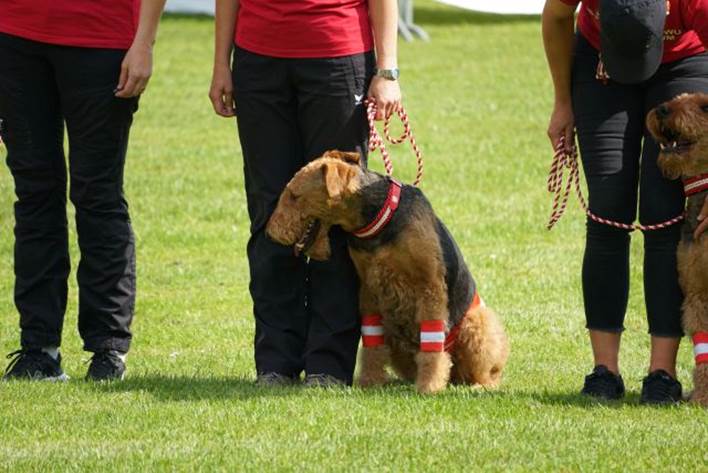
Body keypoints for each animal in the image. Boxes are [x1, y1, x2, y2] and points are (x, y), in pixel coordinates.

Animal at [266, 150, 508, 390]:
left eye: (294, 195)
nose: (270, 233)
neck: (378, 219)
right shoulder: (369, 288)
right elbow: (372, 346)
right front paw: (369, 382)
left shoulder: (429, 286)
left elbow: (432, 347)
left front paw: (428, 387)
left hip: (477, 324)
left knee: (486, 372)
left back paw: (478, 386)